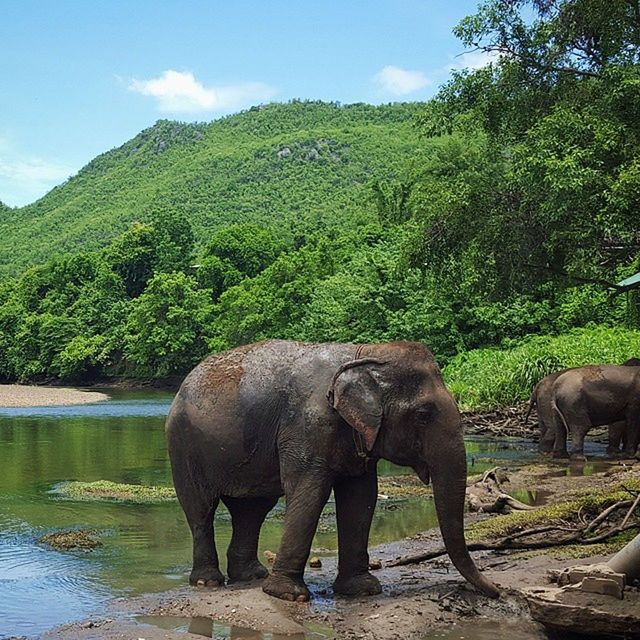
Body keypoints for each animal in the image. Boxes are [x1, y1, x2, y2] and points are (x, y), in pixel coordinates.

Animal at [165, 342, 500, 604]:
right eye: (422, 415)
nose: (498, 590)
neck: (362, 353)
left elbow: (361, 496)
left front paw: (363, 591)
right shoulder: (306, 426)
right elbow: (309, 490)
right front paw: (288, 596)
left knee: (252, 511)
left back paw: (251, 576)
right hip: (183, 446)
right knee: (201, 510)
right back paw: (208, 582)